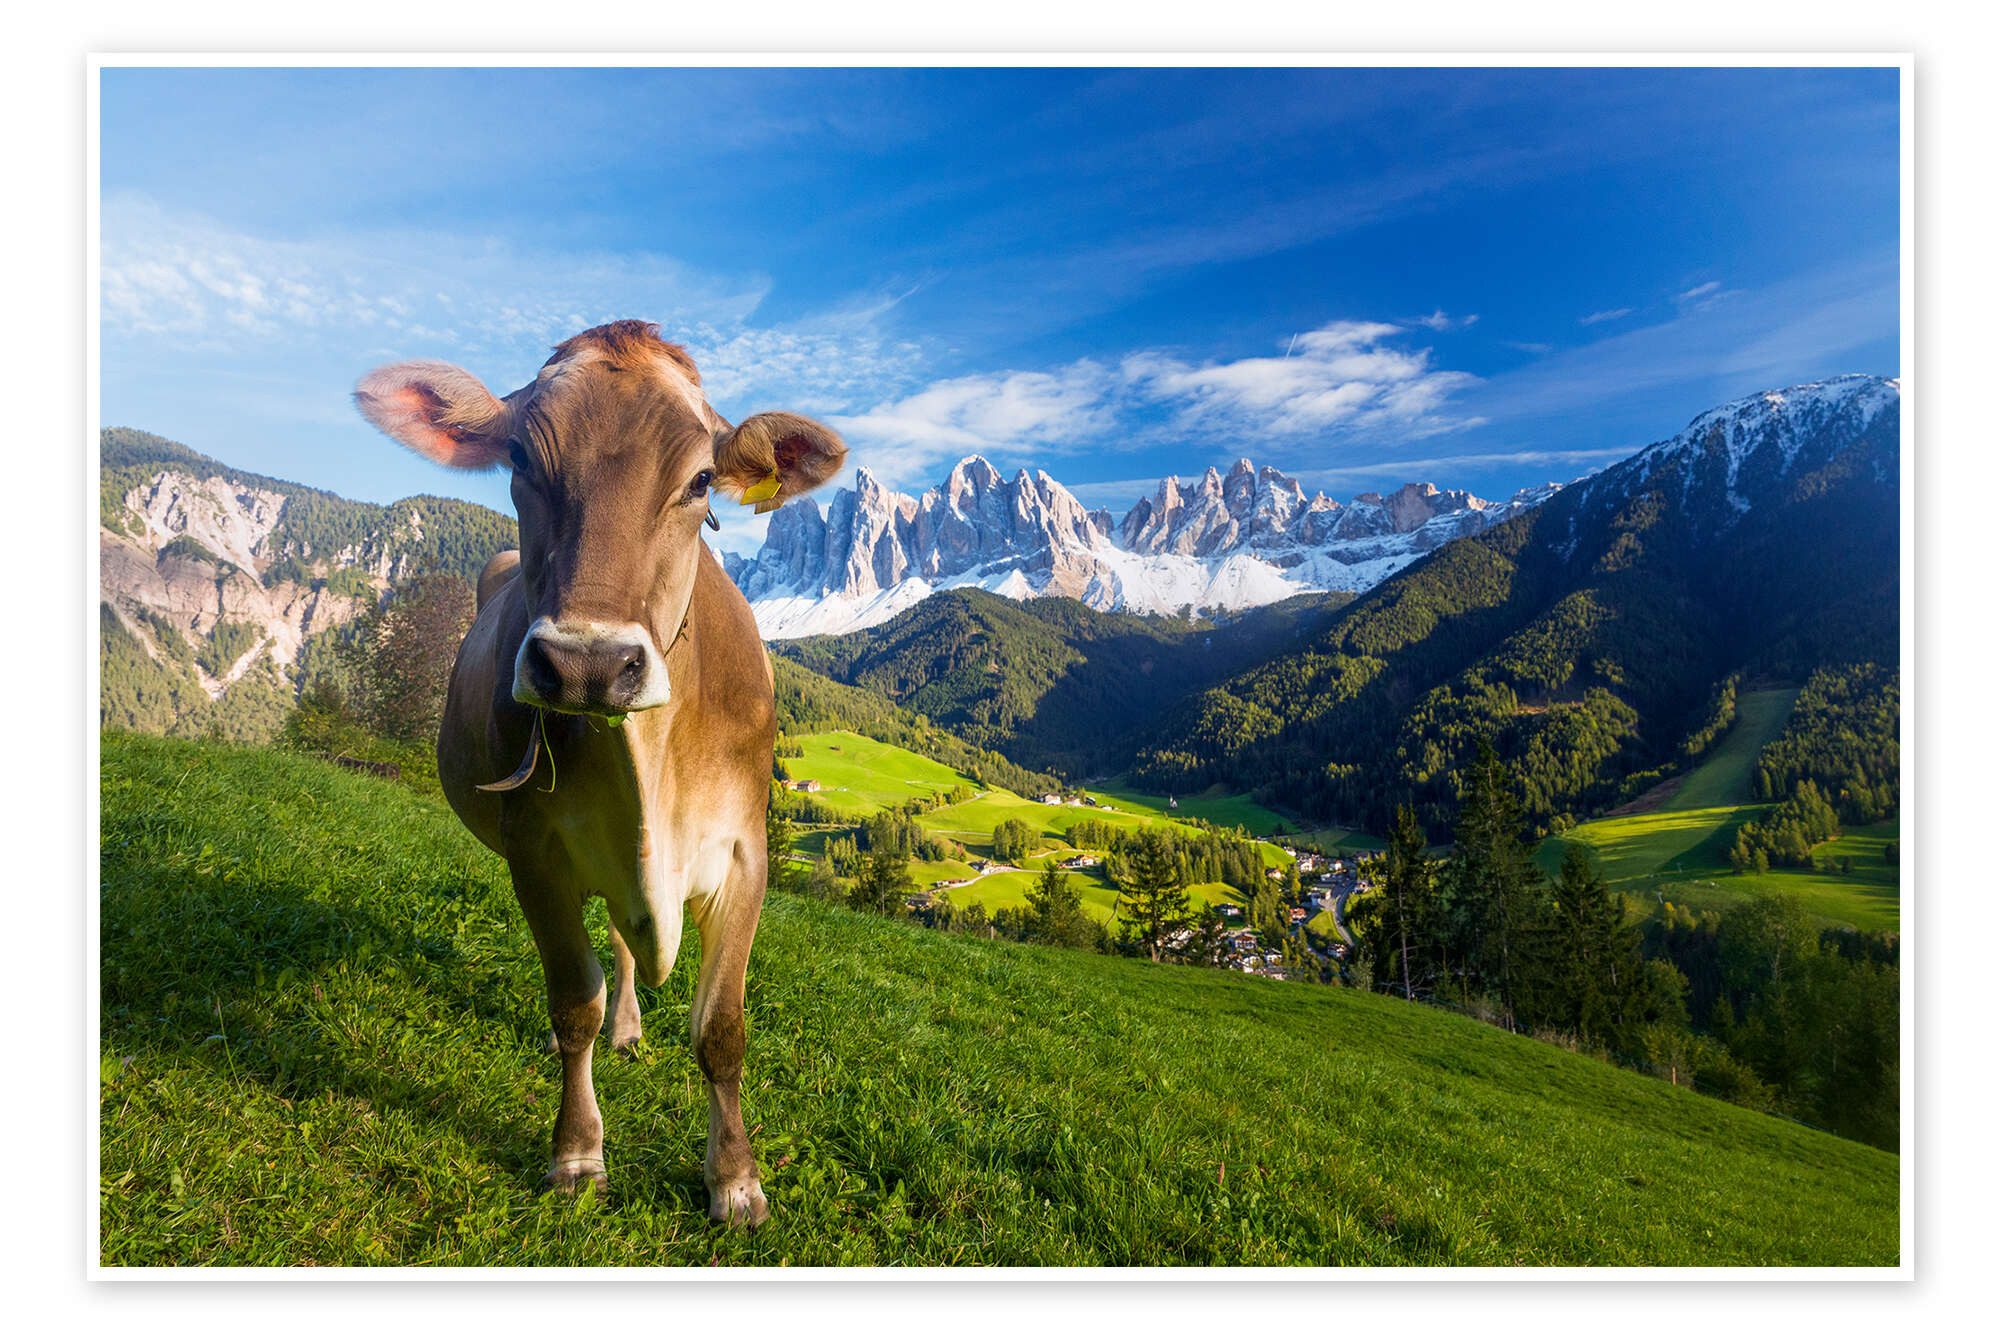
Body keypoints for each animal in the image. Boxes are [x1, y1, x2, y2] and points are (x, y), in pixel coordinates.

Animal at [353, 320, 846, 1226]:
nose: (586, 665)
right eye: (519, 456)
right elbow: (570, 998)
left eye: (700, 480)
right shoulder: (536, 852)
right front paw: (578, 1152)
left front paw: (736, 1179)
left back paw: (630, 1027)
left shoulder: (746, 852)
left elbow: (722, 1027)